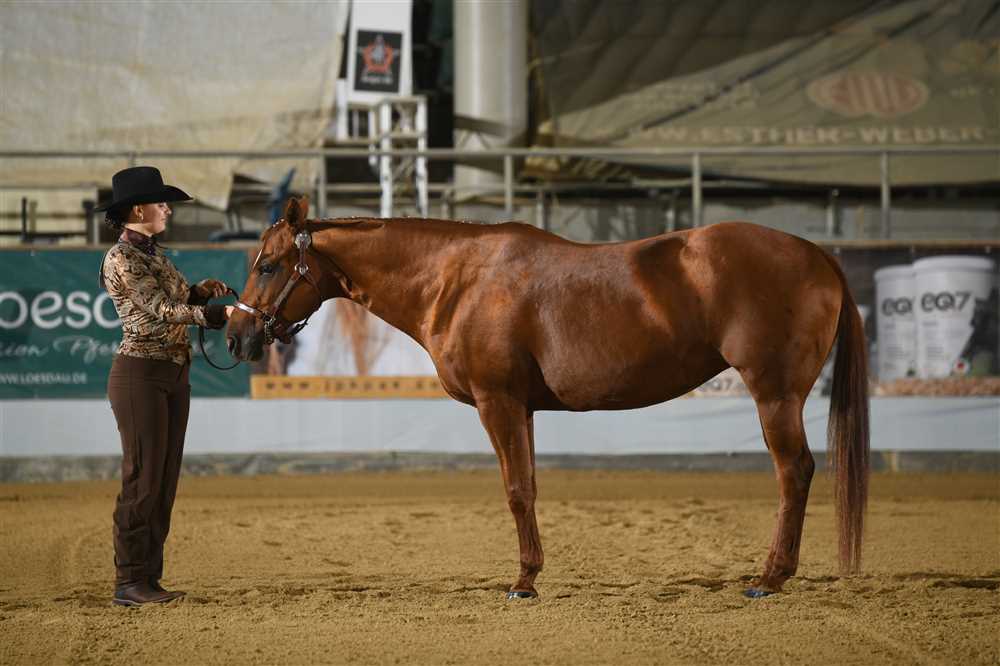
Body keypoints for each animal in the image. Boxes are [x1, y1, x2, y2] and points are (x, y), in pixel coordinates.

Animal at [226, 196, 869, 599]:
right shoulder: (524, 408)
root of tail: (819, 254)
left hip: (774, 395)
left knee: (794, 473)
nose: (235, 334)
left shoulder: (499, 402)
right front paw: (531, 573)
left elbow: (516, 491)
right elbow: (529, 486)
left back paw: (770, 577)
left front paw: (523, 583)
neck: (458, 279)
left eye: (269, 263)